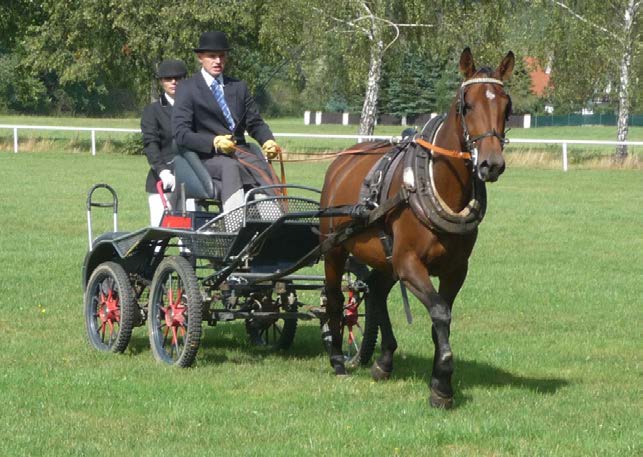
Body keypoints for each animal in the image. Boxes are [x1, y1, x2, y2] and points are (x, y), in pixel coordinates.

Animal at [320, 48, 516, 408]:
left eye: (507, 106)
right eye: (466, 105)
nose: (491, 164)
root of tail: (343, 158)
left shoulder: (455, 269)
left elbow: (443, 316)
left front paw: (440, 379)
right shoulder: (409, 263)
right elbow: (439, 312)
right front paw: (443, 380)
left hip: (385, 256)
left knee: (376, 290)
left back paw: (384, 361)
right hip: (335, 248)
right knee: (336, 298)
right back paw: (339, 359)